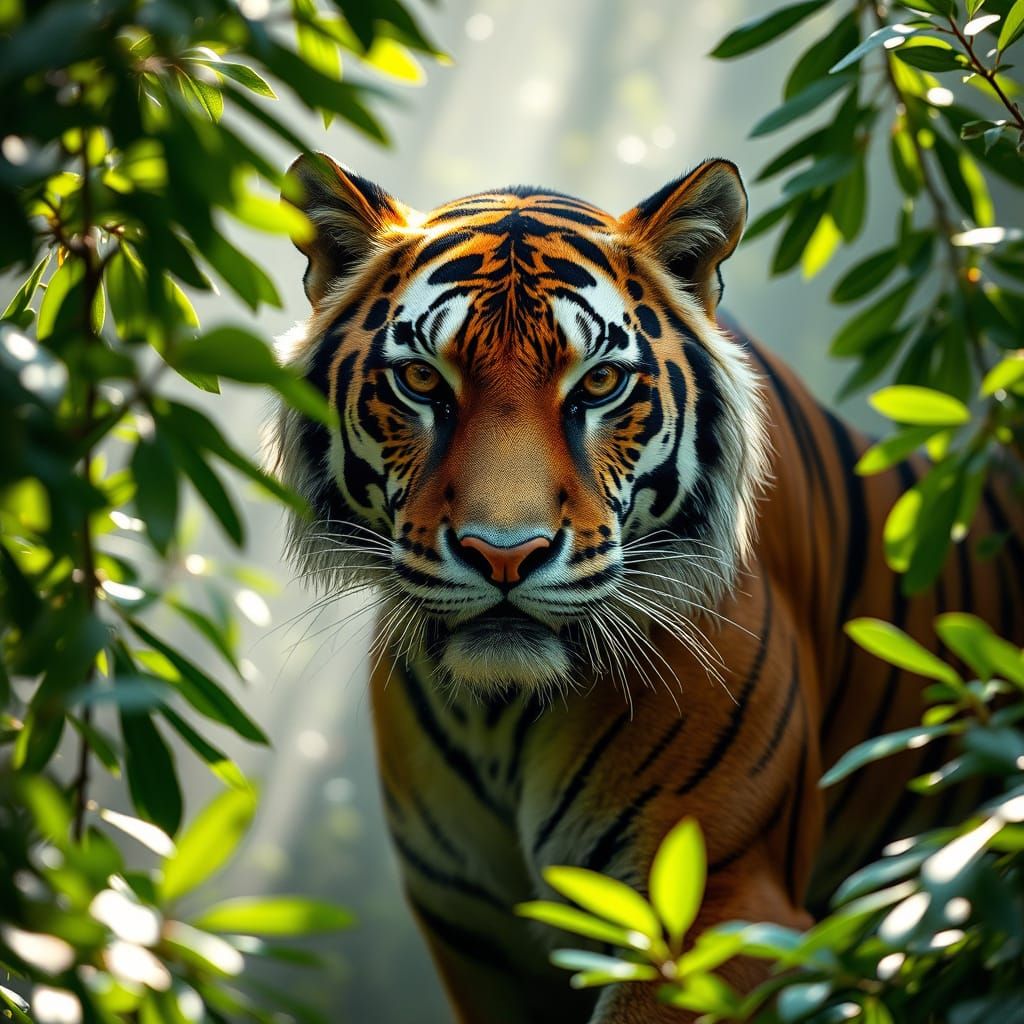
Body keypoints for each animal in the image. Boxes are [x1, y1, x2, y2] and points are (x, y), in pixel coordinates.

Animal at [272, 152, 1024, 1024]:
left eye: (599, 385)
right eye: (423, 380)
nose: (504, 554)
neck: (500, 719)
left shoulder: (714, 909)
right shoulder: (480, 946)